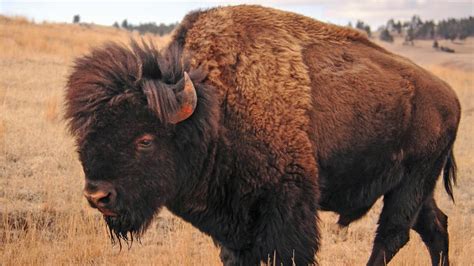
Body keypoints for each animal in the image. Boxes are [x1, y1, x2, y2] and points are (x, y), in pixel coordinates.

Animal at [65, 4, 462, 266]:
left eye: (145, 139)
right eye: (84, 134)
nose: (98, 196)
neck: (215, 107)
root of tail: (451, 97)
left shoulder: (286, 208)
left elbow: (286, 252)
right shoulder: (235, 223)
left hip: (412, 182)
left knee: (393, 234)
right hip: (414, 188)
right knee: (434, 226)